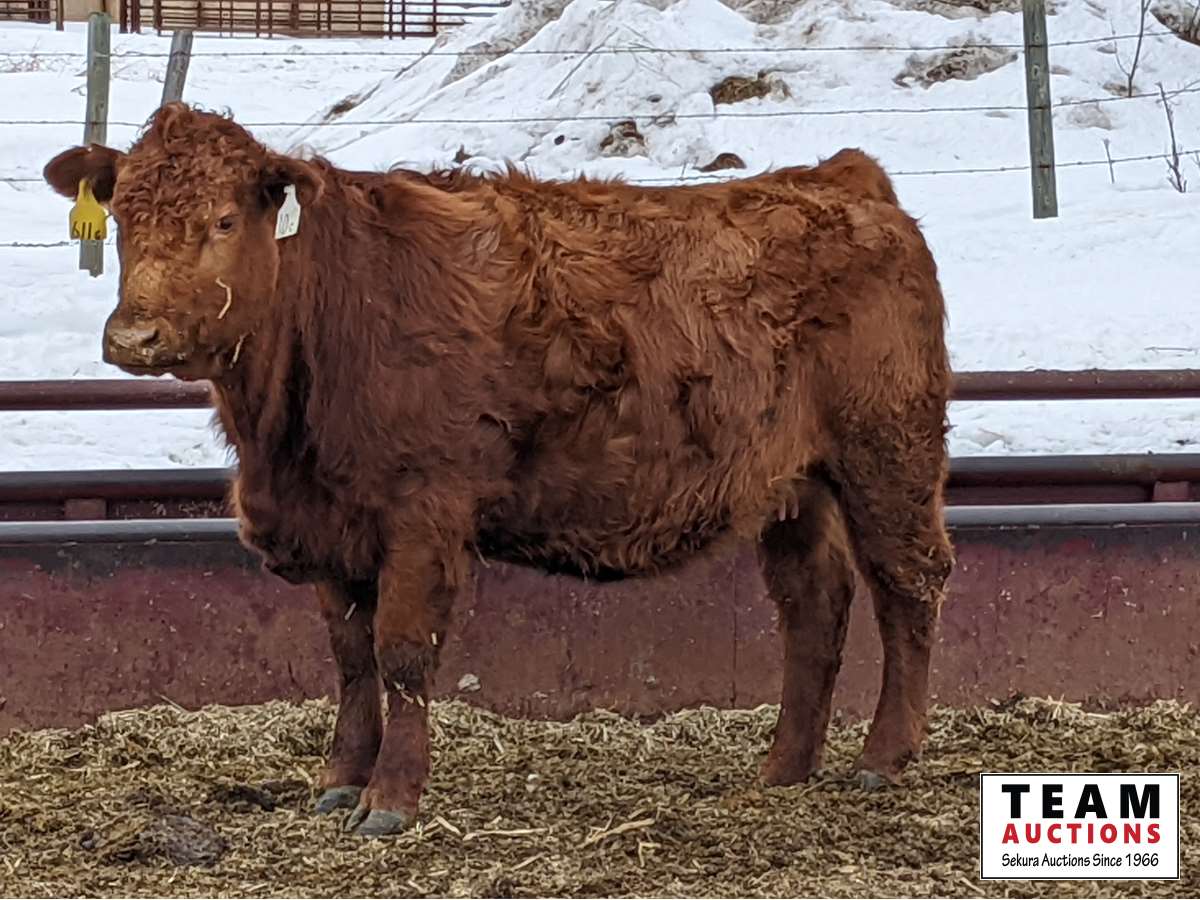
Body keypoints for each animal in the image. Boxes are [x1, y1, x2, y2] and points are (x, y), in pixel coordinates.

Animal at [44, 103, 955, 837]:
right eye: (122, 216)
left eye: (226, 221)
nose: (135, 336)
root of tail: (840, 179)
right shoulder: (332, 528)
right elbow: (350, 657)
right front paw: (341, 780)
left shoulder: (421, 513)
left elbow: (401, 653)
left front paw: (391, 801)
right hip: (792, 487)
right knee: (816, 607)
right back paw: (783, 768)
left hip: (888, 454)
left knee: (907, 585)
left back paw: (884, 756)